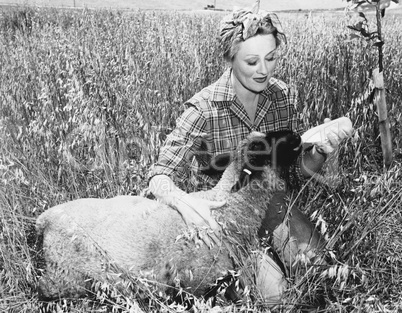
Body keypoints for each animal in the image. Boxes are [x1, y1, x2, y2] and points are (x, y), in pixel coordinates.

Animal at [36, 129, 322, 304]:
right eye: (258, 147)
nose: (295, 135)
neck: (227, 209)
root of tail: (45, 219)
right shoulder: (199, 286)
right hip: (67, 276)